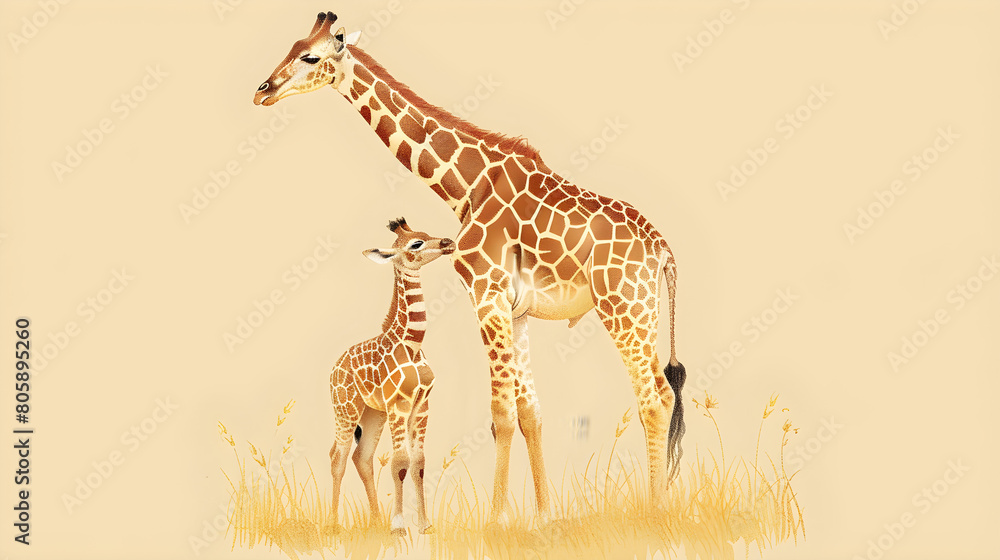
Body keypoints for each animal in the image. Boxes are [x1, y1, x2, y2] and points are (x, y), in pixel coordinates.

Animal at [328, 217, 453, 535]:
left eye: (426, 233)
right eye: (416, 243)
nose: (448, 242)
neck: (412, 344)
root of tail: (333, 369)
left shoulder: (421, 407)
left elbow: (419, 463)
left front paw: (424, 525)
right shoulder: (400, 405)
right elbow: (400, 462)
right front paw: (398, 526)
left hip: (373, 414)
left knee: (362, 457)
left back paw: (374, 521)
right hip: (346, 410)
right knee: (338, 457)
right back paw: (333, 524)